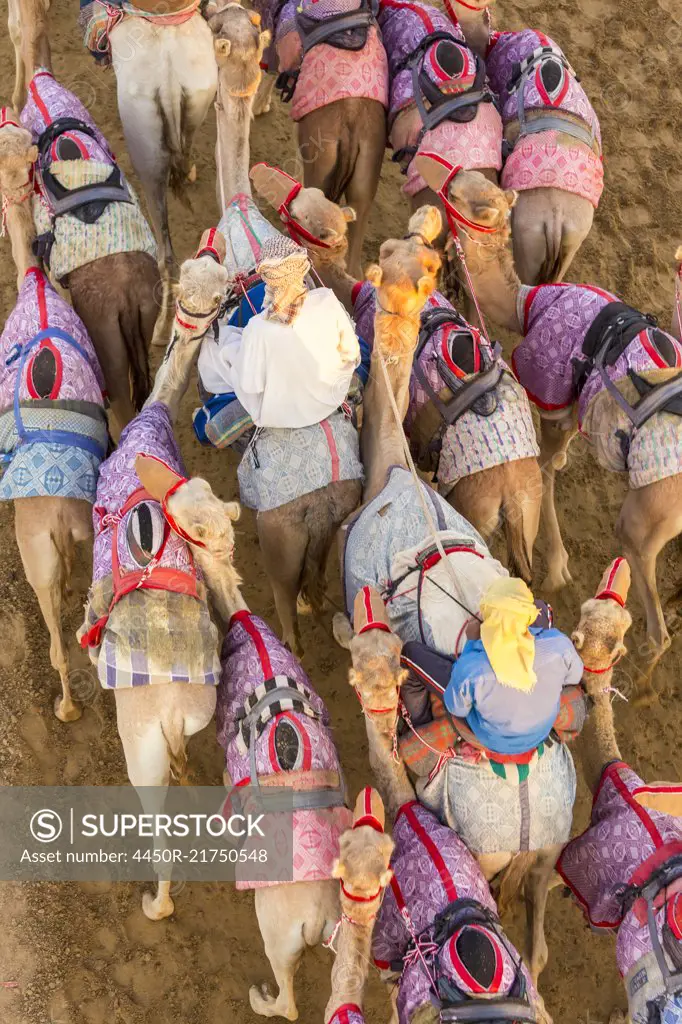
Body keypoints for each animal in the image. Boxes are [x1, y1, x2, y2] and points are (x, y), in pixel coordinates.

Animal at [411, 155, 679, 692]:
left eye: (459, 191)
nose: (435, 170)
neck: (523, 304)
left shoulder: (552, 388)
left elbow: (547, 467)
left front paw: (556, 567)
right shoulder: (573, 406)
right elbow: (554, 463)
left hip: (648, 516)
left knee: (654, 625)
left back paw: (637, 689)